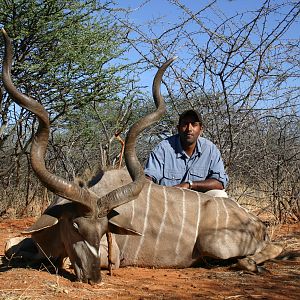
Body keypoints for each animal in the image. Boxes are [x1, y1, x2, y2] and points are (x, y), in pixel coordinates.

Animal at [2, 28, 284, 284]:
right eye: (75, 226)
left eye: (103, 231)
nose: (94, 278)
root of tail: (255, 221)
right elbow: (11, 246)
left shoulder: (110, 256)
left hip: (214, 243)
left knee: (271, 249)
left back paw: (251, 265)